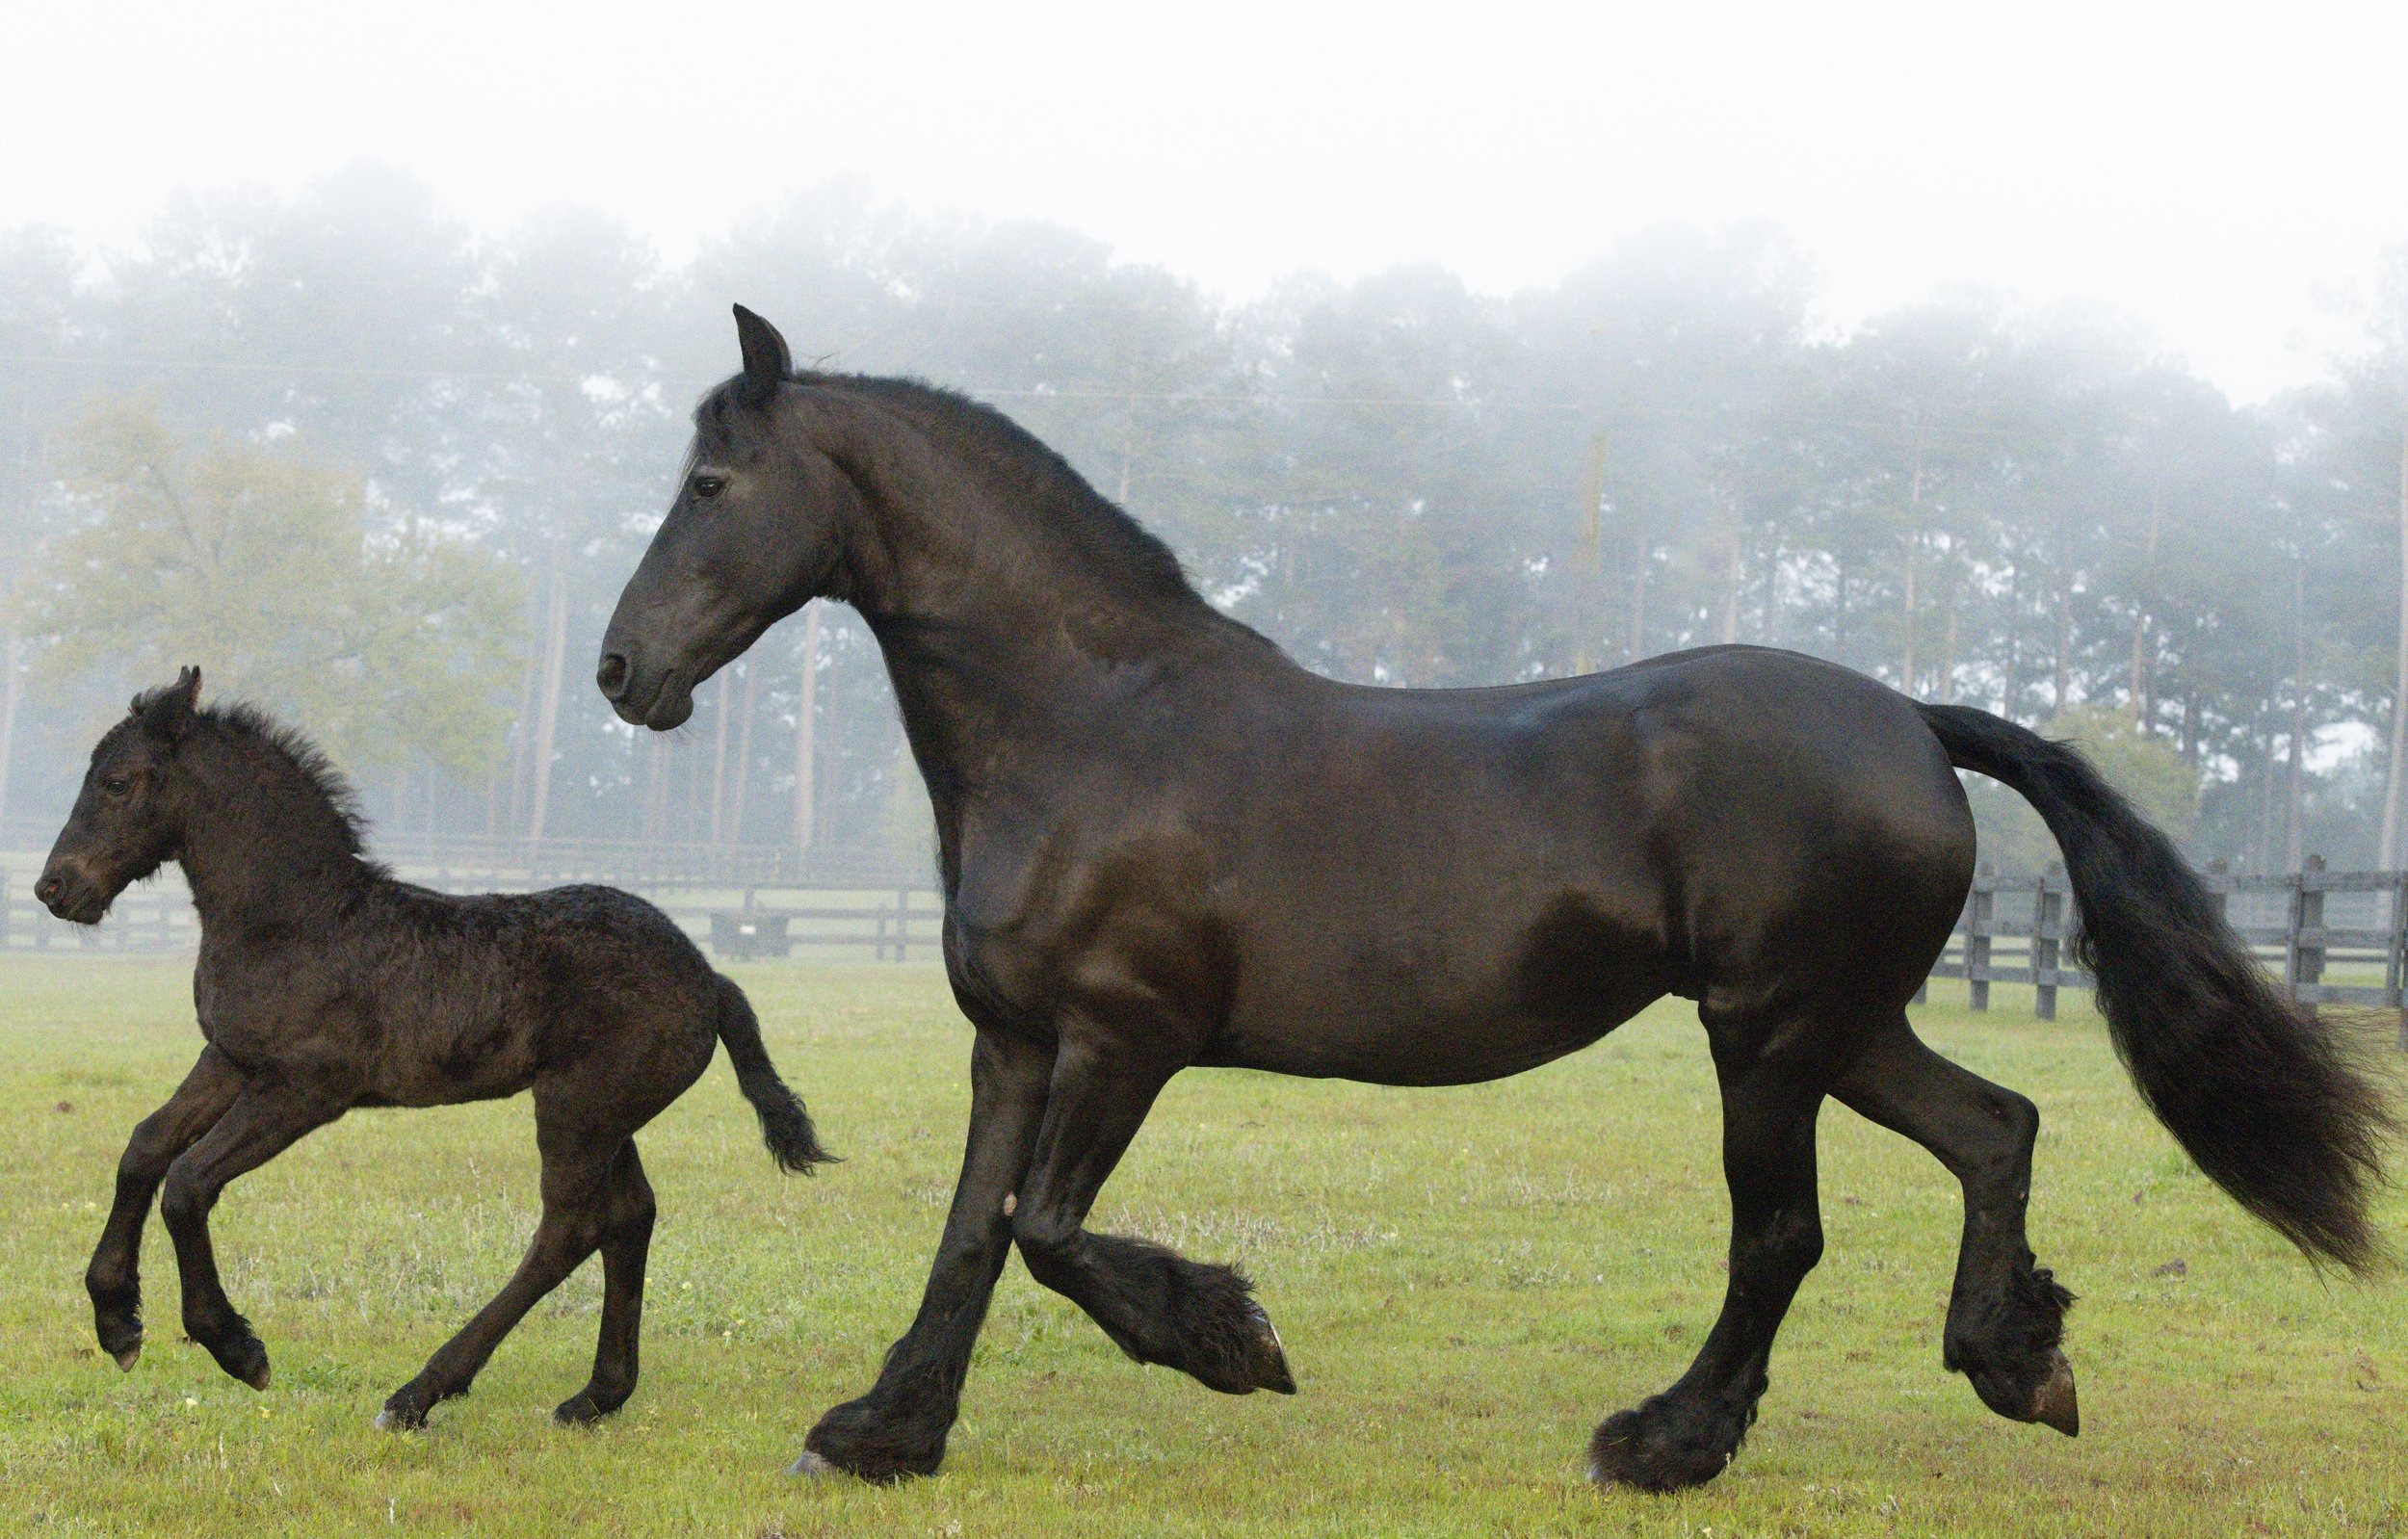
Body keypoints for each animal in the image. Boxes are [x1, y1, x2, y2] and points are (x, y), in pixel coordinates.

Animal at [35, 668, 833, 1431]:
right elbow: (143, 1148)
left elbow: (188, 1182)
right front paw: (116, 1321)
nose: (54, 887)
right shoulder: (231, 1061)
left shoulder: (305, 1089)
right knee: (630, 1216)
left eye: (117, 781)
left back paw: (419, 1394)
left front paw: (234, 1346)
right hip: (609, 1117)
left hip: (578, 1109)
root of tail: (708, 977)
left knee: (570, 1229)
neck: (293, 919)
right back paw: (594, 1396)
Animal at [596, 305, 2393, 1491]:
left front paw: (1231, 1338)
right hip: (1843, 1025)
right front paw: (883, 1430)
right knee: (1998, 1127)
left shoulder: (1124, 1037)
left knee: (1782, 1231)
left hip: (1770, 1033)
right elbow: (971, 1235)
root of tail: (1909, 716)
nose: (622, 673)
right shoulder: (1017, 1043)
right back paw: (2018, 1359)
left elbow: (1046, 1231)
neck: (1091, 723)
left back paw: (1668, 1440)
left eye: (712, 487)